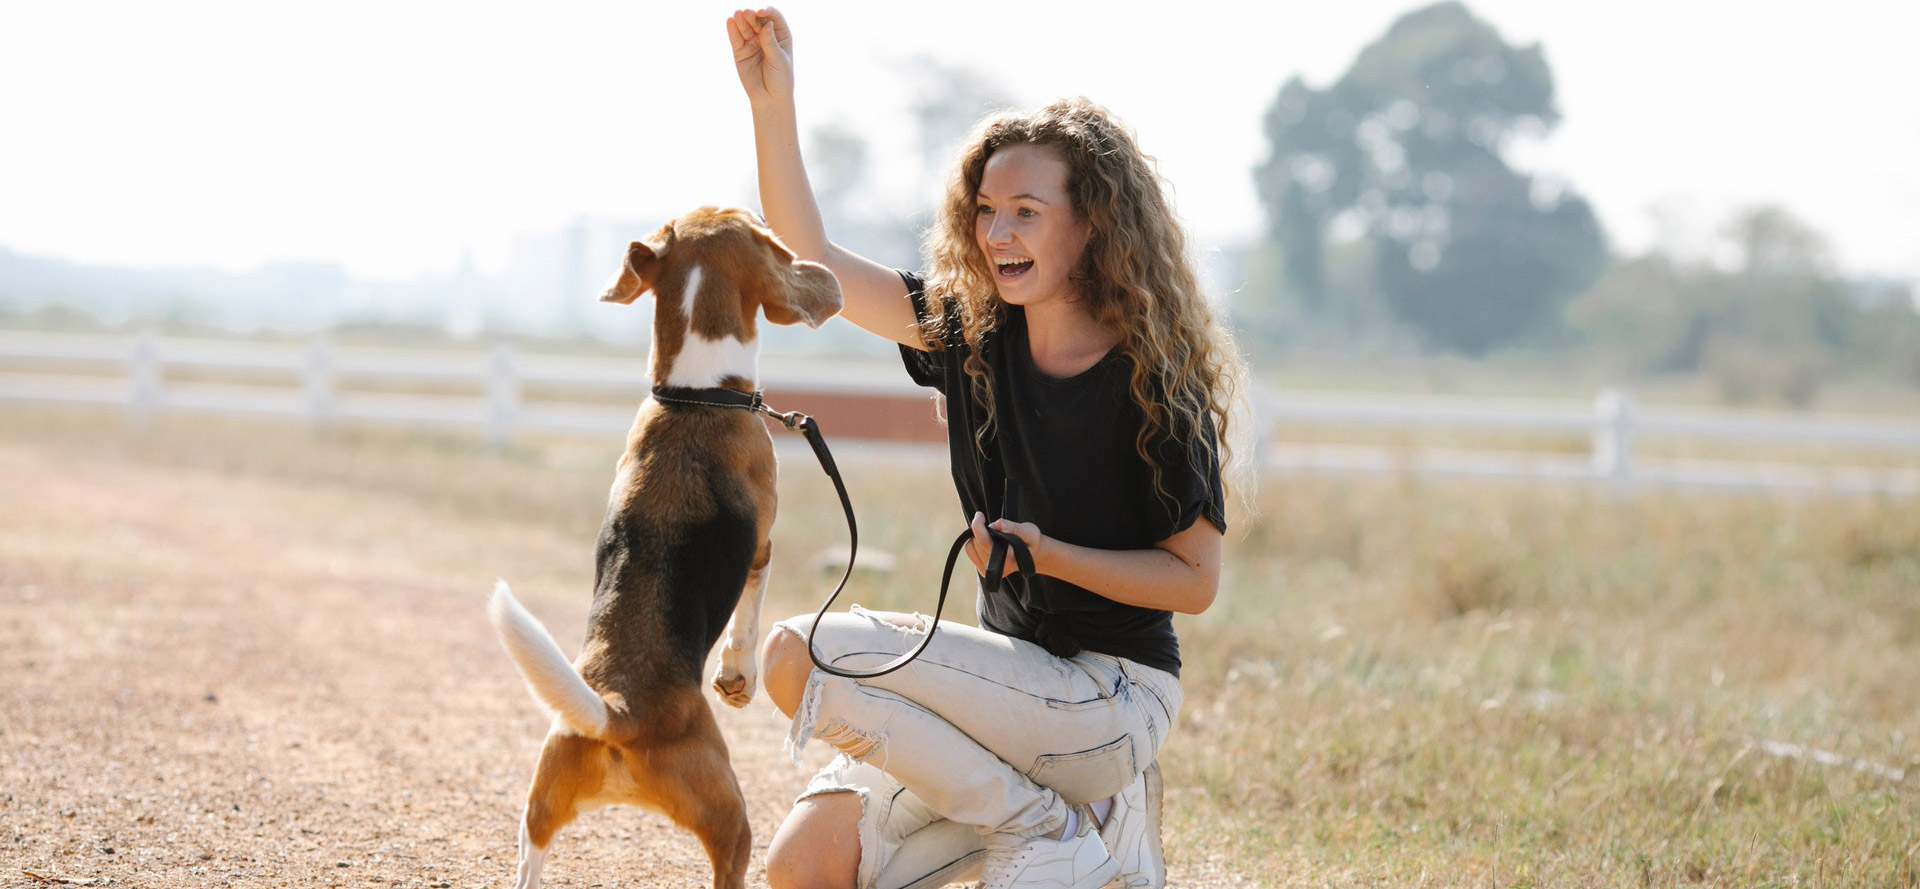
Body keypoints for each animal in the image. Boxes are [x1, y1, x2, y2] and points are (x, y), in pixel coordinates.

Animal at [483, 207, 837, 889]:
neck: (695, 394)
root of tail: (618, 709)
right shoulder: (762, 548)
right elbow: (749, 616)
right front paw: (737, 677)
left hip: (537, 810)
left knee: (529, 856)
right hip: (733, 820)